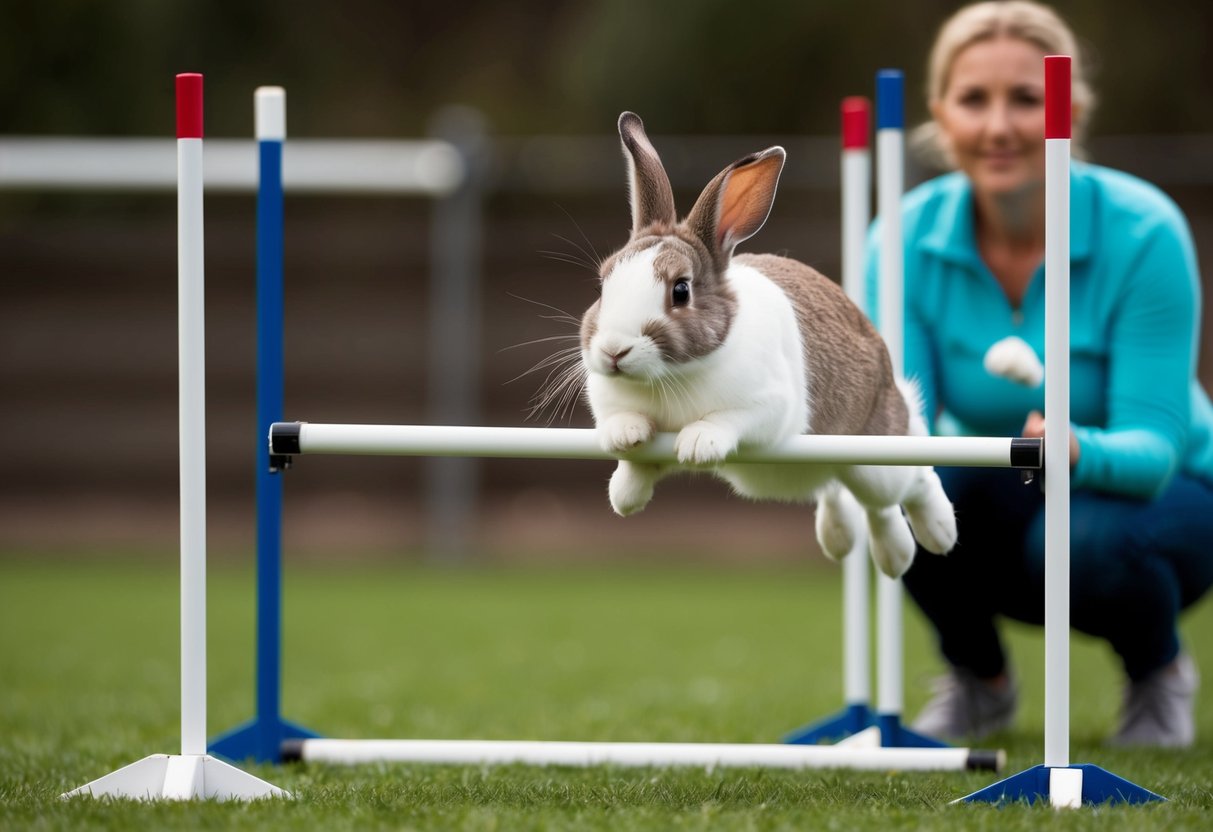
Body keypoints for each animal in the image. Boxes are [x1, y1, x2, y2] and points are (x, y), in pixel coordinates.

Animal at [577, 112, 955, 579]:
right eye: (602, 285)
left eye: (680, 290)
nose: (614, 351)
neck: (668, 377)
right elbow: (634, 454)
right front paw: (625, 481)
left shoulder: (767, 406)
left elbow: (727, 420)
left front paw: (697, 443)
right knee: (854, 500)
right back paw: (854, 542)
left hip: (877, 458)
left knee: (912, 482)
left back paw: (934, 535)